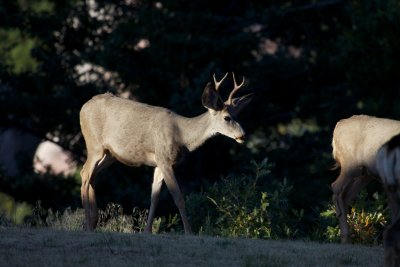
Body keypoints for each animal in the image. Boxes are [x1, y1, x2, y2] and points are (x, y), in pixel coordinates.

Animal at [79, 73, 252, 234]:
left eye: (237, 115)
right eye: (227, 118)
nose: (243, 135)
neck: (182, 135)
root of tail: (83, 108)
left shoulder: (159, 164)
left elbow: (154, 198)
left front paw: (147, 231)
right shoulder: (164, 160)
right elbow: (178, 197)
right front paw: (189, 232)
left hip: (110, 154)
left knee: (93, 175)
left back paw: (93, 221)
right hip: (94, 144)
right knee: (85, 173)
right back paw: (87, 224)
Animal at [330, 114, 400, 244]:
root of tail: (339, 125)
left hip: (365, 173)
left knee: (345, 195)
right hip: (351, 165)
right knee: (336, 188)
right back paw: (345, 237)